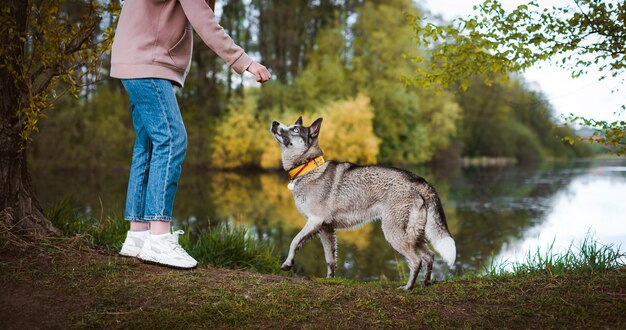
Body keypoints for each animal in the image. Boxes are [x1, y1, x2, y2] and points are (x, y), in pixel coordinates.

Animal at [268, 116, 454, 288]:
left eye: (295, 129)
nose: (275, 123)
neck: (308, 167)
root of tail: (418, 179)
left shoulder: (314, 221)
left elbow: (294, 241)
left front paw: (287, 263)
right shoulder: (325, 229)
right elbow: (330, 259)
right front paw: (330, 279)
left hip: (394, 232)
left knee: (416, 260)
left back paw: (408, 287)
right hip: (414, 234)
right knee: (429, 256)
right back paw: (426, 282)